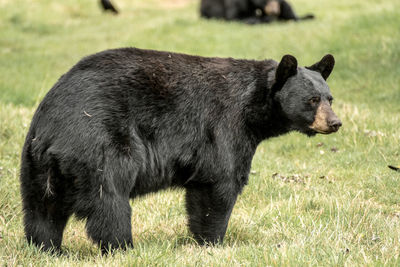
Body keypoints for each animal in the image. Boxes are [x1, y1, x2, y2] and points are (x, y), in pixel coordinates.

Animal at [19, 48, 340, 253]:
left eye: (329, 97)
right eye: (312, 100)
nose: (335, 122)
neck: (252, 107)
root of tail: (53, 132)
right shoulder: (224, 126)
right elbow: (220, 184)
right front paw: (213, 242)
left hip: (37, 165)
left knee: (42, 211)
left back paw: (48, 249)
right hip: (100, 146)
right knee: (109, 203)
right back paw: (124, 247)